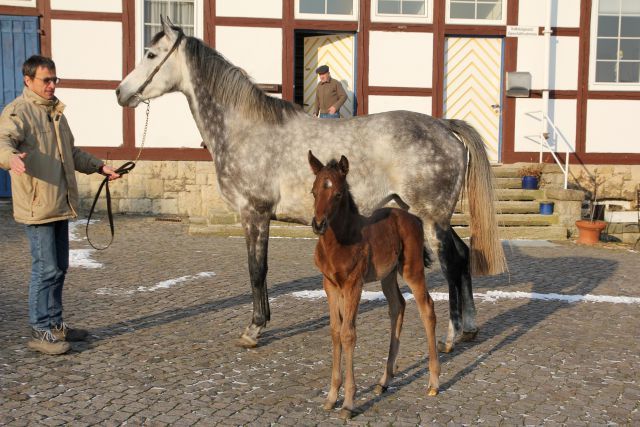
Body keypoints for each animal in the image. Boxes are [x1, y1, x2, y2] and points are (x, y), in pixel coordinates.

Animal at [115, 17, 504, 352]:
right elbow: (258, 270)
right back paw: (469, 328)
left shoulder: (254, 213)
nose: (121, 92)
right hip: (431, 216)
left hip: (431, 218)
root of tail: (444, 126)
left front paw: (254, 328)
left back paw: (451, 336)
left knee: (452, 263)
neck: (246, 130)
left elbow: (257, 270)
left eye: (151, 55)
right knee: (464, 255)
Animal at [308, 152, 440, 420]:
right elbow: (335, 331)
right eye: (314, 191)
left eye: (338, 194)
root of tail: (413, 217)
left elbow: (348, 334)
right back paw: (384, 381)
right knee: (398, 306)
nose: (318, 224)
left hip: (412, 270)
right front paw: (331, 396)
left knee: (427, 309)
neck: (339, 242)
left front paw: (348, 403)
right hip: (388, 275)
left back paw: (433, 382)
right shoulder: (330, 285)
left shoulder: (353, 284)